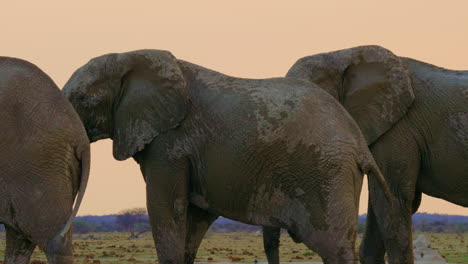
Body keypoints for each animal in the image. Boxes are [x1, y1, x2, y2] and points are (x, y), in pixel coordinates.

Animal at [63, 49, 394, 264]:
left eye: (80, 98)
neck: (131, 57)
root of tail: (359, 143)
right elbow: (191, 220)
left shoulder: (170, 145)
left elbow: (166, 208)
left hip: (326, 173)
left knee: (335, 248)